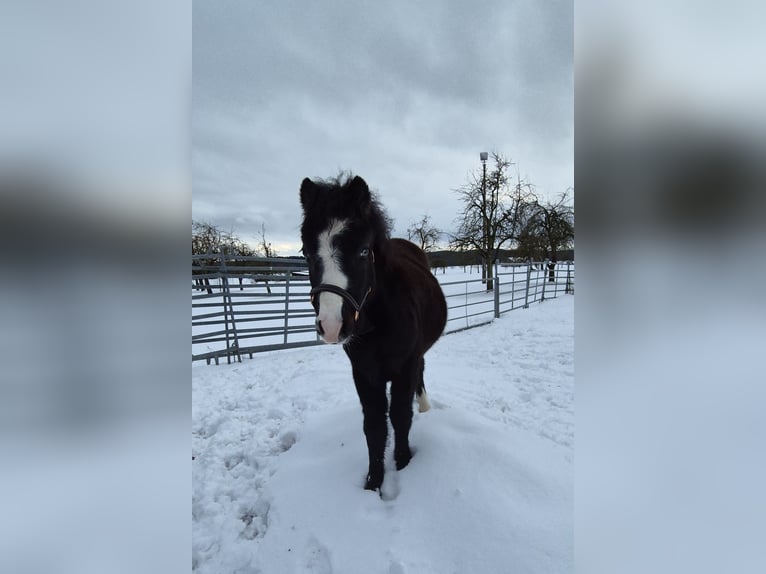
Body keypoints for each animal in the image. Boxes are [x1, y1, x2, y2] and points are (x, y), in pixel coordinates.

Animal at [299, 174, 448, 492]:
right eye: (306, 253)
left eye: (364, 251)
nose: (332, 325)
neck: (380, 321)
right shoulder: (364, 373)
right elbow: (375, 426)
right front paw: (373, 482)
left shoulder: (405, 367)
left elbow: (401, 417)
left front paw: (403, 463)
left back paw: (425, 405)